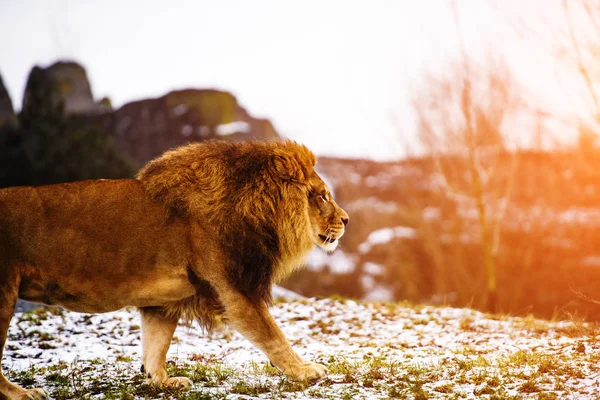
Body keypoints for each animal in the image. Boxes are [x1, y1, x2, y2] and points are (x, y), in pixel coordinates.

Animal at [0, 141, 346, 400]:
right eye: (323, 196)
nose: (346, 220)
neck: (254, 208)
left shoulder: (161, 302)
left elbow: (156, 345)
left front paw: (161, 382)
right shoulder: (235, 289)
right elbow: (274, 335)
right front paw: (304, 370)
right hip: (4, 293)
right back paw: (21, 393)